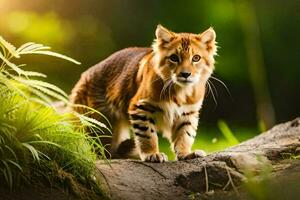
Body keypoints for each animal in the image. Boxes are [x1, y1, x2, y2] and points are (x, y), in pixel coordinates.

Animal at [70, 24, 216, 162]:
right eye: (174, 58)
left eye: (196, 58)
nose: (185, 74)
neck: (181, 91)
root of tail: (85, 75)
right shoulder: (141, 107)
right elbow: (147, 134)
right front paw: (152, 154)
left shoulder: (188, 113)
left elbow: (184, 135)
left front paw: (186, 154)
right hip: (101, 121)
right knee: (101, 150)